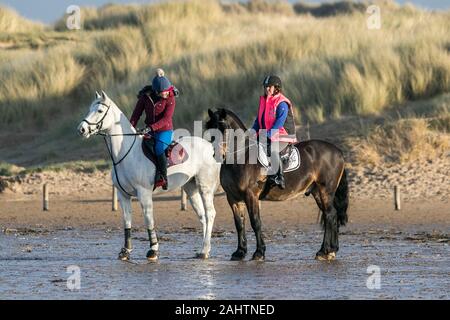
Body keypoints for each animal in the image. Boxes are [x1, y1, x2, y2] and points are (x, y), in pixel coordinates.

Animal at [78, 90, 221, 260]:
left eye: (100, 111)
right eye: (89, 109)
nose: (82, 129)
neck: (126, 153)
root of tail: (209, 147)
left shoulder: (144, 194)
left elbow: (148, 220)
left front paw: (153, 249)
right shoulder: (123, 195)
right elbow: (127, 221)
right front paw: (125, 251)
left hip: (205, 187)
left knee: (210, 214)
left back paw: (204, 250)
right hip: (191, 188)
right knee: (203, 217)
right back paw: (204, 250)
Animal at [206, 109, 350, 262]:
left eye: (223, 128)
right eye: (209, 128)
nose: (217, 154)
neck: (239, 158)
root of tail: (338, 151)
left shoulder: (251, 195)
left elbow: (255, 222)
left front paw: (259, 253)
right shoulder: (233, 198)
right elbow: (239, 224)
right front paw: (240, 252)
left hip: (325, 190)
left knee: (329, 215)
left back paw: (324, 251)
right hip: (317, 192)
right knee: (332, 216)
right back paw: (331, 251)